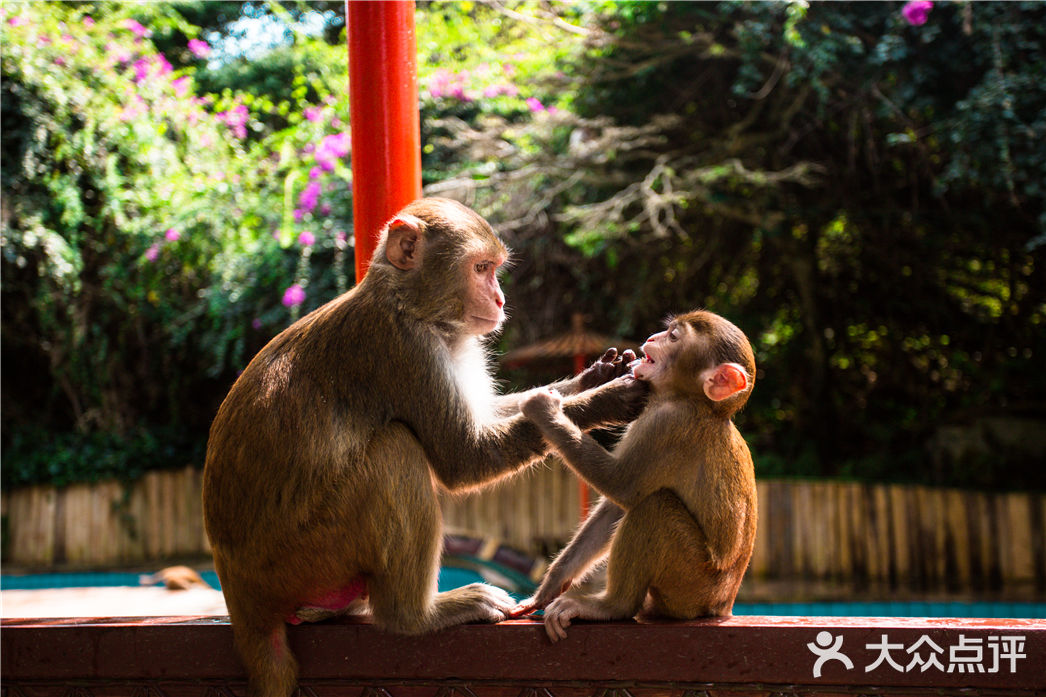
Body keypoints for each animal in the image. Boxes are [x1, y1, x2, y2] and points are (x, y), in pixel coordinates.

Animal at [201, 196, 644, 694]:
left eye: (494, 270)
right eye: (481, 268)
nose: (500, 300)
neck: (408, 304)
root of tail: (240, 589)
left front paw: (594, 377)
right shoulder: (405, 349)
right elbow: (464, 458)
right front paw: (607, 398)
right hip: (306, 556)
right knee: (396, 448)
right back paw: (417, 615)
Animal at [518, 309, 757, 640]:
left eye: (673, 337)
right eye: (667, 331)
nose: (652, 338)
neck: (691, 400)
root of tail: (720, 606)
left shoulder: (668, 424)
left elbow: (622, 487)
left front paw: (545, 409)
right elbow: (615, 507)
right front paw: (551, 584)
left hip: (691, 583)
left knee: (654, 507)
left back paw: (612, 606)